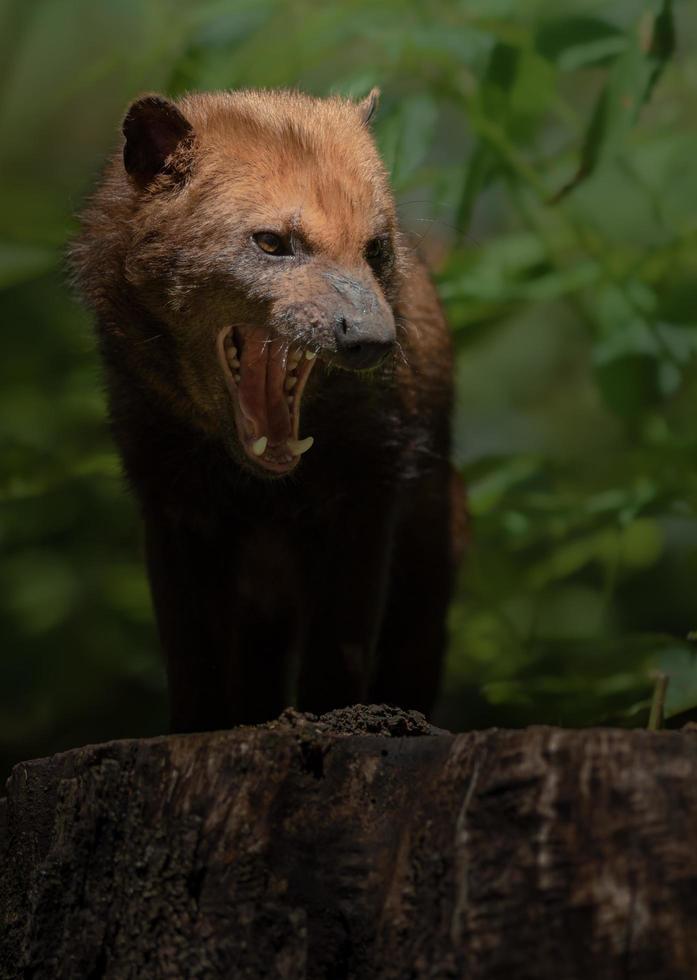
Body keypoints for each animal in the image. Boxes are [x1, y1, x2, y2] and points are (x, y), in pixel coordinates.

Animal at [72, 90, 462, 728]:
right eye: (272, 242)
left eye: (376, 248)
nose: (376, 341)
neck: (261, 494)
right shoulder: (171, 504)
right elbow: (192, 662)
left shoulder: (368, 494)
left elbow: (339, 652)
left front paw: (337, 724)